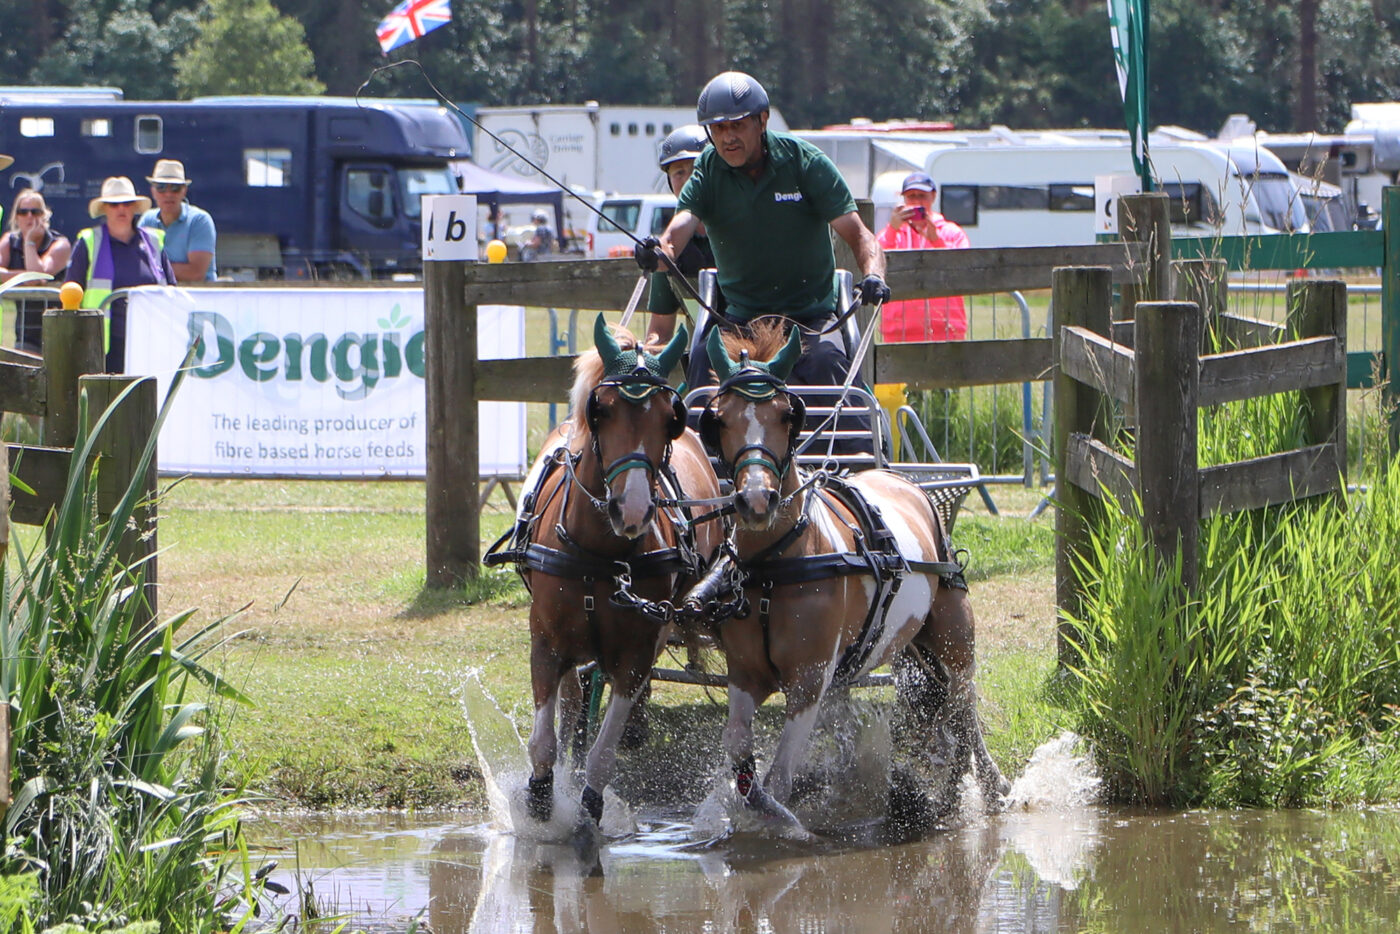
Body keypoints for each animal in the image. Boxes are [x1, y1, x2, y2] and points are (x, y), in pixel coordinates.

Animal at [487, 317, 722, 828]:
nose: (631, 509)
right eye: (603, 411)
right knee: (573, 703)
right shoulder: (546, 644)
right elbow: (544, 743)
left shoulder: (634, 655)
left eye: (669, 418)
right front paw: (541, 802)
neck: (599, 551)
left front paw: (587, 810)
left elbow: (603, 752)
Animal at [697, 322, 1008, 823]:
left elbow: (780, 777)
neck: (778, 564)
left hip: (954, 638)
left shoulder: (808, 681)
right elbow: (739, 749)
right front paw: (756, 809)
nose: (757, 500)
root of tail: (903, 481)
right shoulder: (744, 675)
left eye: (786, 415)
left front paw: (785, 820)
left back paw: (985, 784)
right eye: (719, 419)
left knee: (964, 706)